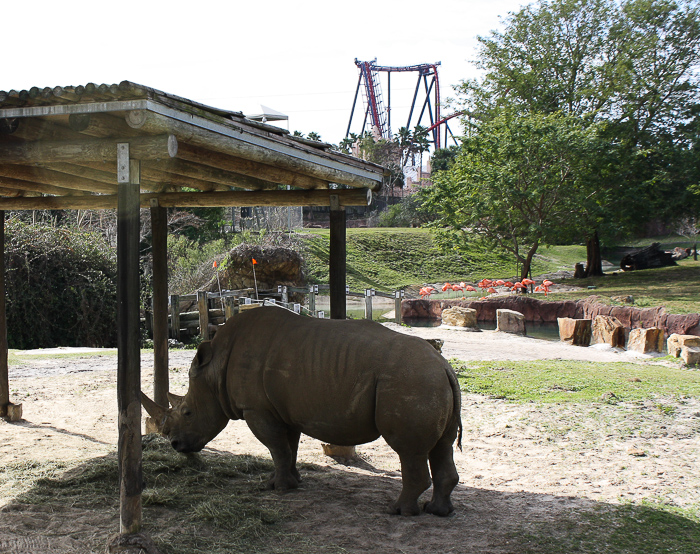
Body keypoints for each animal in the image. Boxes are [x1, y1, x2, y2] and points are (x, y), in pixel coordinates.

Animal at [141, 306, 462, 516]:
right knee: (442, 446)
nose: (175, 445)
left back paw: (399, 511)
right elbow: (288, 448)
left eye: (187, 413)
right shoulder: (283, 409)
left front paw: (279, 489)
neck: (214, 369)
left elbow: (276, 447)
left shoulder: (257, 409)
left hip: (413, 381)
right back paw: (438, 511)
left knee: (409, 450)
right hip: (428, 381)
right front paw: (288, 483)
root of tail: (444, 366)